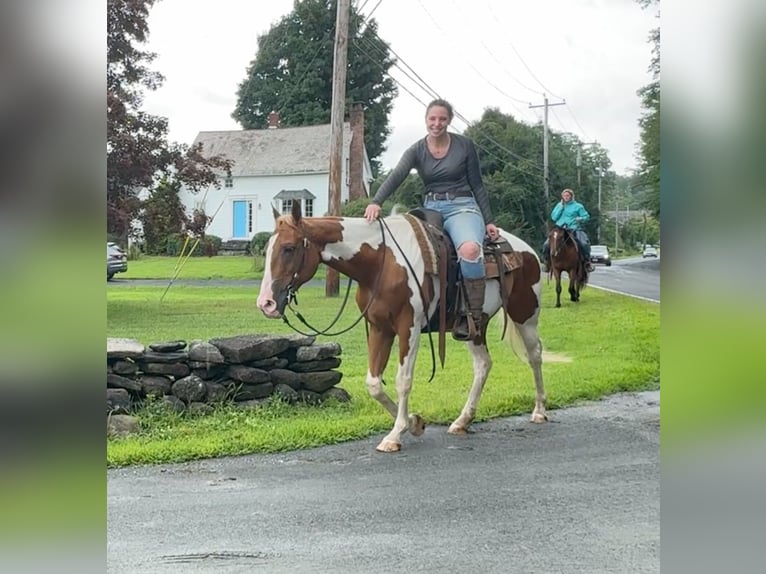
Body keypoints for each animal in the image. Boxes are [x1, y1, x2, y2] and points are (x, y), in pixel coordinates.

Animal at [258, 202, 552, 454]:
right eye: (268, 249)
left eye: (288, 248)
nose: (266, 303)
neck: (382, 262)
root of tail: (527, 250)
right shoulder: (380, 328)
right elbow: (374, 383)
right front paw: (414, 423)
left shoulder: (407, 328)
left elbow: (403, 380)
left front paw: (395, 435)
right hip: (473, 326)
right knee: (483, 364)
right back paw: (462, 421)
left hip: (525, 314)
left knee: (534, 355)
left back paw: (539, 410)